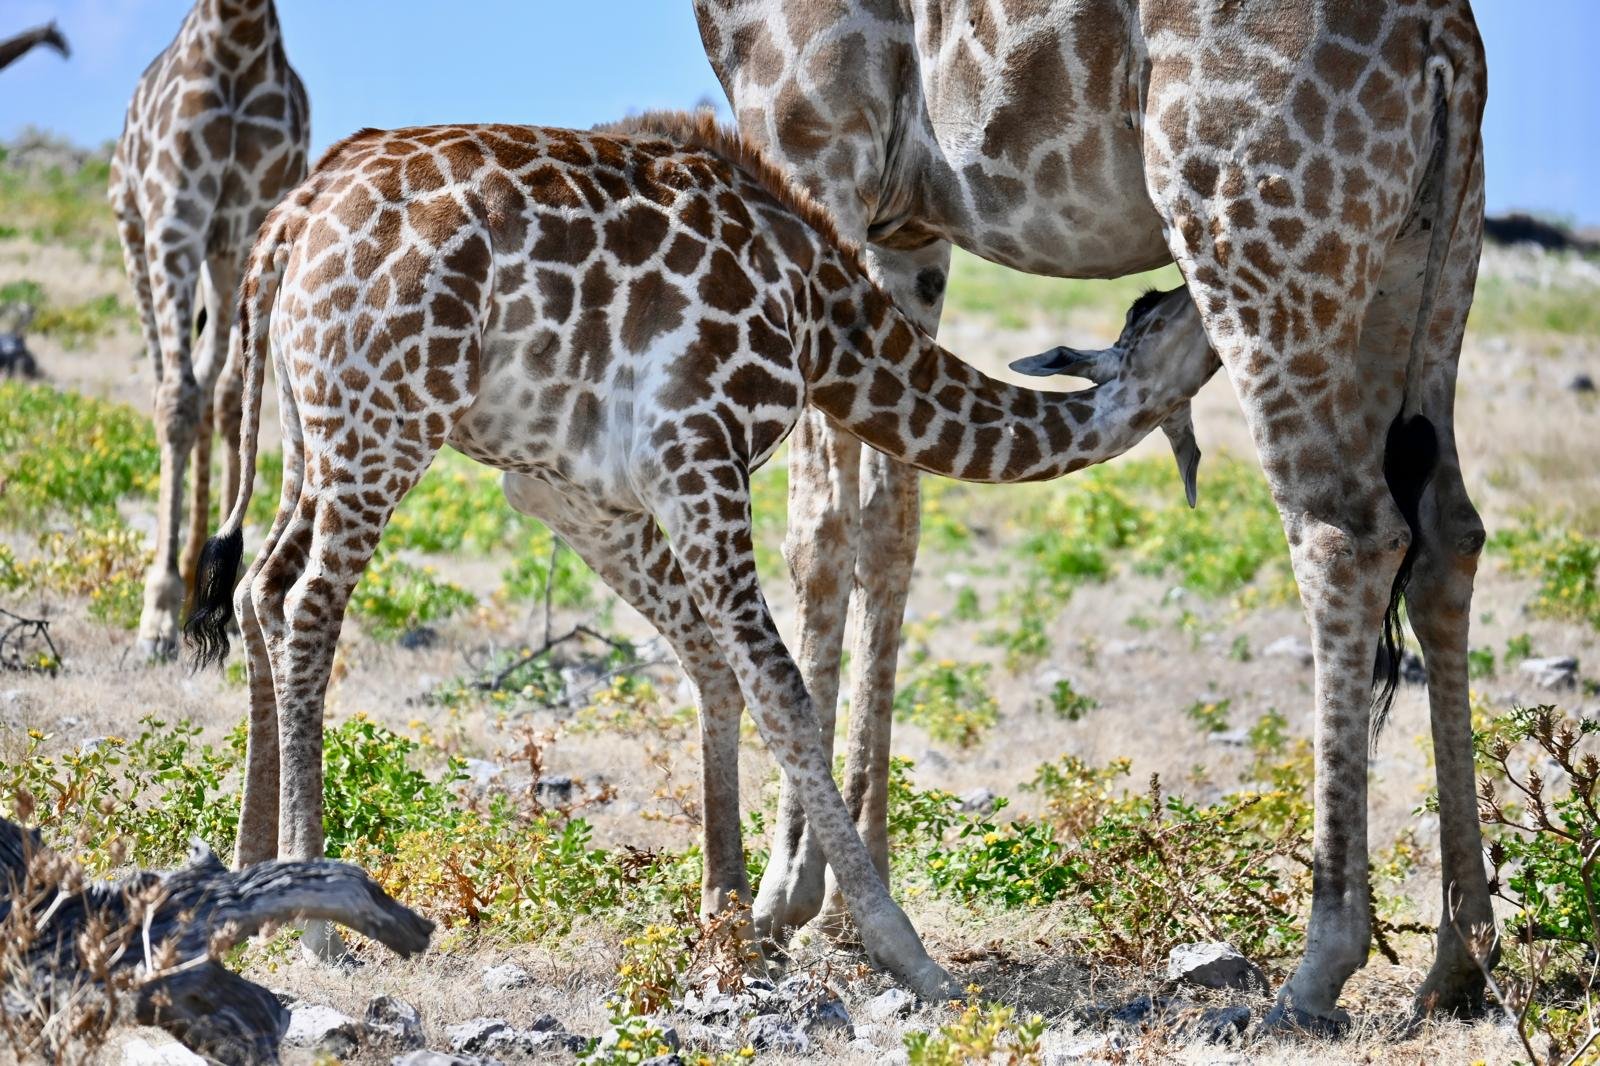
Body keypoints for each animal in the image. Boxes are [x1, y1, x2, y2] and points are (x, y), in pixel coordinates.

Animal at [110, 0, 309, 658]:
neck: (236, 37)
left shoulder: (245, 222)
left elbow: (231, 403)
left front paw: (221, 585)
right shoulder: (174, 220)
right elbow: (177, 401)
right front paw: (156, 612)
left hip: (220, 261)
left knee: (212, 386)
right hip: (134, 235)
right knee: (173, 385)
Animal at [182, 112, 1220, 995]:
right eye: (1167, 312)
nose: (1213, 285)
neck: (824, 326)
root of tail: (291, 223)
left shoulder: (575, 485)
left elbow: (712, 662)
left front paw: (726, 909)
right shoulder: (694, 448)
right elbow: (777, 685)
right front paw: (902, 951)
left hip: (314, 430)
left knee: (263, 590)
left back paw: (254, 885)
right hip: (385, 419)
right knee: (311, 605)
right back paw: (320, 928)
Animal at [695, 0, 1491, 1030]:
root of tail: (1448, 47)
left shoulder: (810, 140)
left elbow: (818, 533)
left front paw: (781, 901)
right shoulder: (907, 230)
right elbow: (889, 525)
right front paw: (848, 904)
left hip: (1257, 245)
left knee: (1345, 534)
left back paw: (1315, 972)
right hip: (1430, 252)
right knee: (1446, 536)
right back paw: (1457, 964)